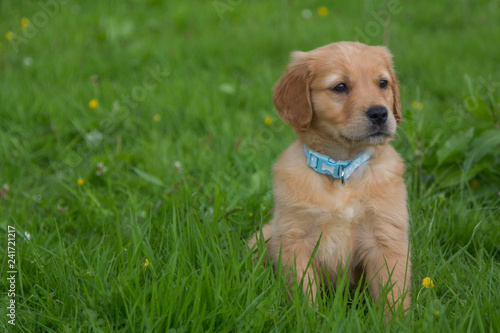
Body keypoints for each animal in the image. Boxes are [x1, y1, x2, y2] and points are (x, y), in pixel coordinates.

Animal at [248, 41, 412, 316]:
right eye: (340, 87)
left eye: (383, 83)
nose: (380, 114)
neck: (342, 170)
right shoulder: (295, 239)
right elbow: (304, 293)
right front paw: (309, 319)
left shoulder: (386, 236)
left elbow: (393, 293)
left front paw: (398, 321)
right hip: (264, 236)